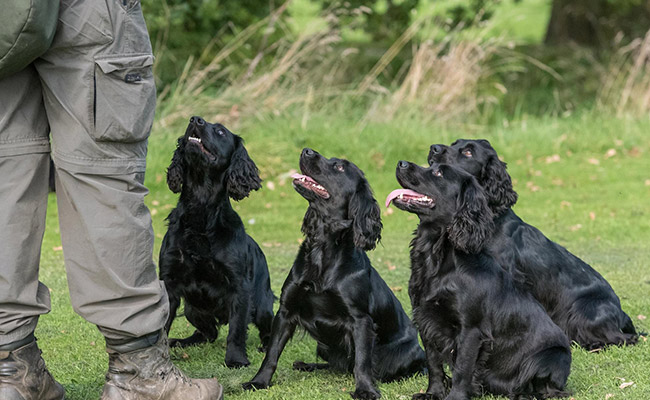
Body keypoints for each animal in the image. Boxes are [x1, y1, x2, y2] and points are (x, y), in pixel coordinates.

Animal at [162, 116, 276, 368]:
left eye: (221, 132)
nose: (195, 119)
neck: (200, 213)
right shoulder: (170, 282)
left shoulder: (239, 287)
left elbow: (236, 330)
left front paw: (236, 359)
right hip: (193, 309)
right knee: (208, 333)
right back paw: (182, 342)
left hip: (262, 305)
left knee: (267, 328)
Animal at [243, 149, 426, 400]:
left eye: (339, 167)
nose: (306, 150)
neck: (323, 251)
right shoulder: (286, 311)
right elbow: (271, 353)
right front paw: (258, 381)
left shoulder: (360, 320)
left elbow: (362, 362)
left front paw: (365, 390)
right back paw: (306, 365)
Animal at [388, 161, 568, 398]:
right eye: (431, 165)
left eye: (438, 172)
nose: (401, 163)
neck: (441, 261)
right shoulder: (426, 319)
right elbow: (434, 364)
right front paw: (433, 393)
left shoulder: (471, 330)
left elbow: (462, 369)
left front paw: (455, 397)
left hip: (551, 357)